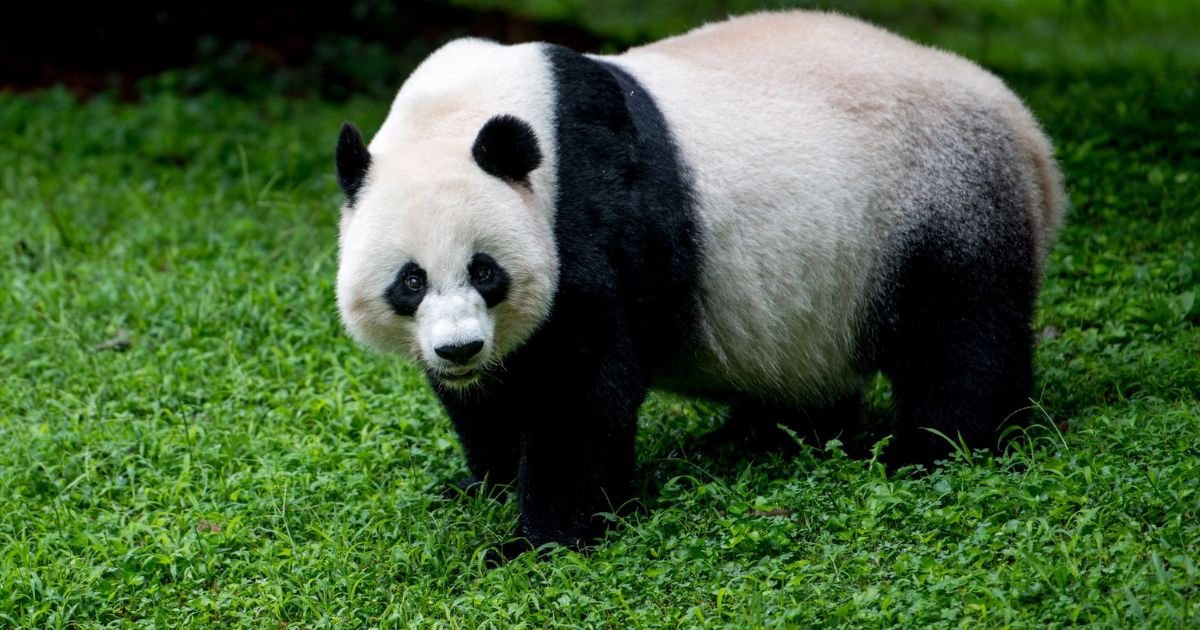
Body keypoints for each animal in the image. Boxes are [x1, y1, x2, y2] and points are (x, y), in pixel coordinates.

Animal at [333, 11, 1065, 554]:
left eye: (485, 271)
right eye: (411, 282)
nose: (459, 349)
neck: (463, 113)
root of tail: (1030, 134)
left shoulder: (589, 207)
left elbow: (580, 382)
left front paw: (535, 541)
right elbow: (495, 392)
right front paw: (482, 480)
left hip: (938, 202)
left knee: (960, 338)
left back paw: (930, 451)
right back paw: (760, 433)